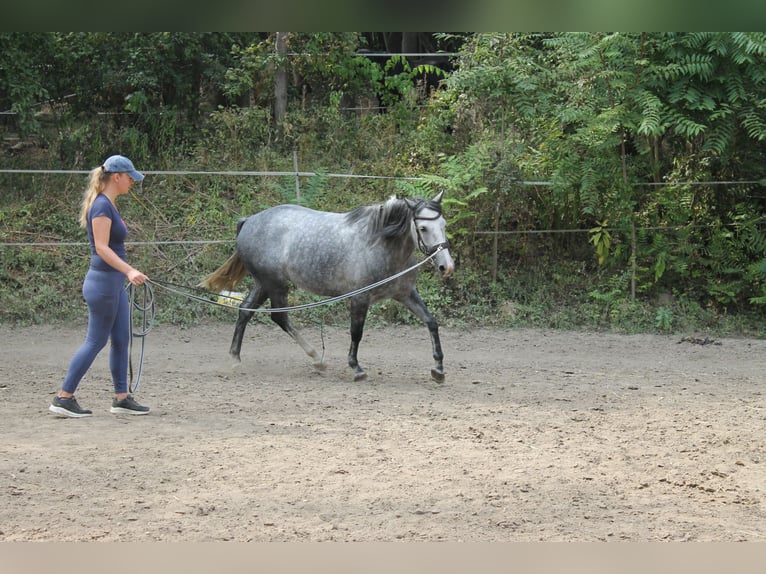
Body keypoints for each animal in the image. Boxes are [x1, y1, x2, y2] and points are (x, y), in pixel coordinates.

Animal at [202, 191, 456, 384]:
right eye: (423, 228)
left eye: (443, 224)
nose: (447, 266)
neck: (380, 245)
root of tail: (249, 221)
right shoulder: (360, 298)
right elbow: (356, 333)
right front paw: (356, 369)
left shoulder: (405, 294)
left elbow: (431, 322)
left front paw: (438, 369)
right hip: (274, 284)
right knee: (279, 317)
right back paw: (317, 358)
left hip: (263, 283)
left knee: (245, 311)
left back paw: (236, 359)